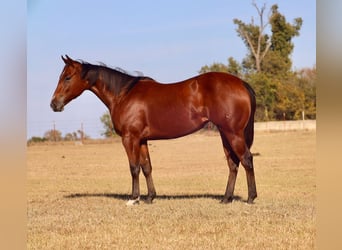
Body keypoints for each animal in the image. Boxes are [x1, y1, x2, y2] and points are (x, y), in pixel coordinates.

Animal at [50, 55, 258, 205]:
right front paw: (150, 197)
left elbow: (134, 168)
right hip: (225, 134)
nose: (54, 104)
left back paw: (250, 198)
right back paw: (226, 198)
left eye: (67, 77)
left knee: (246, 159)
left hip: (232, 133)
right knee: (233, 164)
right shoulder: (142, 140)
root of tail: (242, 84)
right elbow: (147, 167)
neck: (123, 95)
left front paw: (134, 198)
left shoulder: (130, 138)